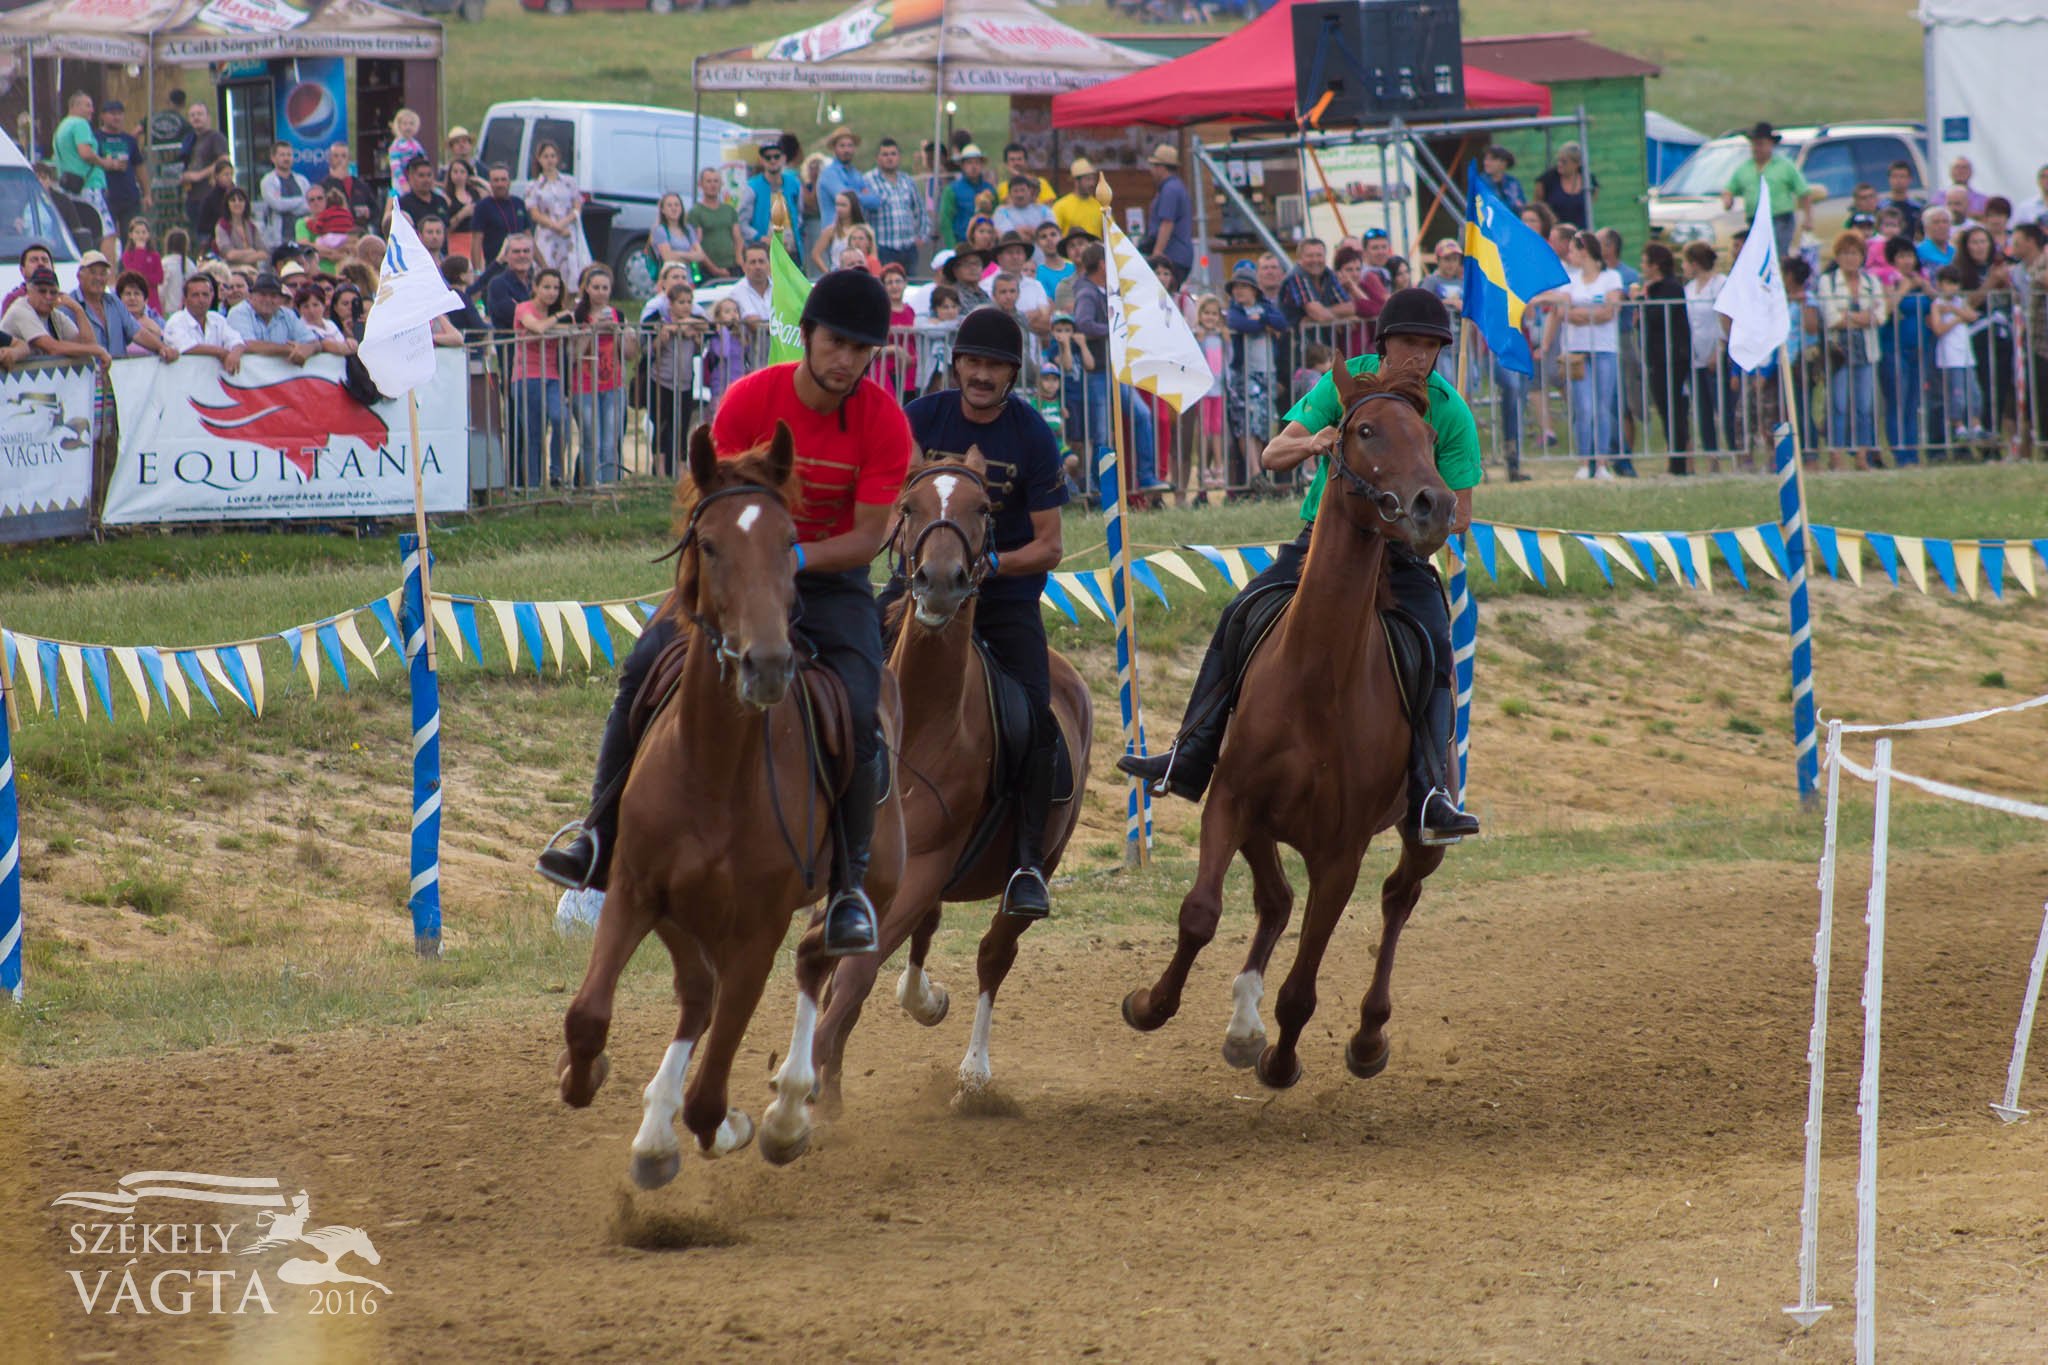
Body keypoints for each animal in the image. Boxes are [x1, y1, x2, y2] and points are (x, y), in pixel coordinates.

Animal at [565, 427, 909, 1186]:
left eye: (789, 543)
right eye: (711, 543)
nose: (769, 664)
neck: (714, 769)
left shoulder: (758, 929)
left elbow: (711, 1092)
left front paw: (736, 1126)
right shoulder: (633, 889)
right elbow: (589, 1015)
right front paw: (588, 1075)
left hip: (873, 882)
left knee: (813, 957)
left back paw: (784, 1112)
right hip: (679, 911)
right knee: (699, 993)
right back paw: (660, 1125)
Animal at [811, 450, 1097, 1113]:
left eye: (983, 508)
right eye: (908, 506)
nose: (940, 581)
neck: (919, 725)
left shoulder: (924, 866)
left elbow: (853, 979)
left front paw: (811, 1092)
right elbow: (836, 968)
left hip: (1037, 865)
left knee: (994, 954)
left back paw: (973, 1075)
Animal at [1122, 358, 1458, 1096]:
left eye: (1429, 436)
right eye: (1364, 430)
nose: (1434, 505)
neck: (1317, 676)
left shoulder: (1341, 853)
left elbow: (1303, 985)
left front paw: (1281, 1060)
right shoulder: (1231, 800)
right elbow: (1200, 912)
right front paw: (1150, 1005)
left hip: (1423, 829)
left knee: (1400, 895)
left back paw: (1365, 1036)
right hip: (1259, 820)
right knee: (1275, 900)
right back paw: (1243, 1024)